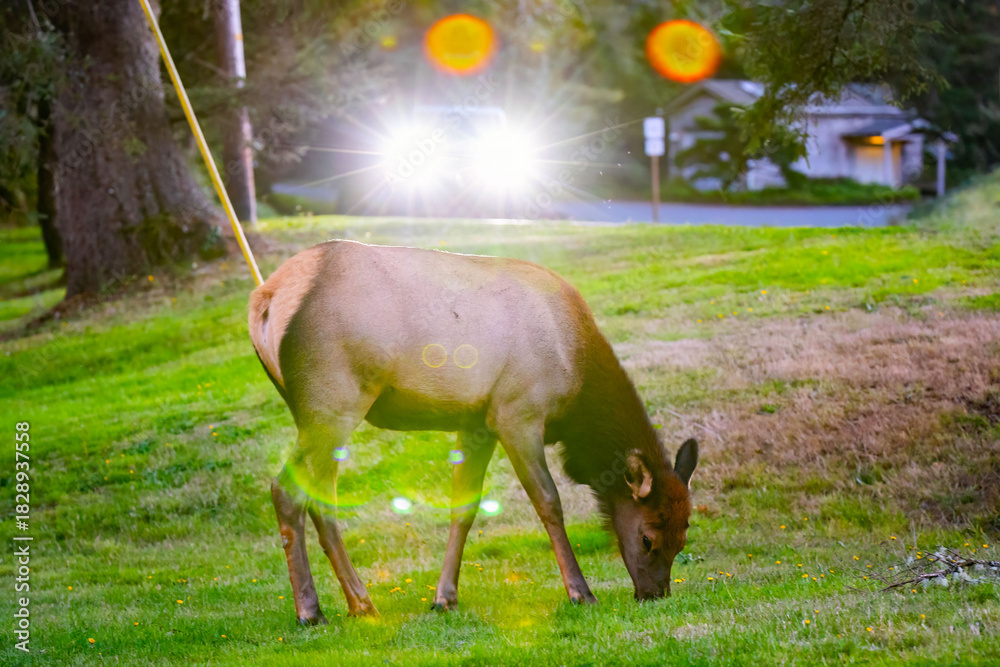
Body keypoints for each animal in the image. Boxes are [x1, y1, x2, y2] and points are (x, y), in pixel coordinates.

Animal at [248, 239, 698, 624]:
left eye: (683, 537)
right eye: (648, 537)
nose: (655, 594)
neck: (578, 382)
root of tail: (265, 301)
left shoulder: (476, 423)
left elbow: (464, 506)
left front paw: (444, 597)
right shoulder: (517, 412)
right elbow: (549, 501)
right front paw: (580, 591)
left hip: (316, 410)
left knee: (321, 498)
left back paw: (361, 603)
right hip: (332, 401)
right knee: (286, 489)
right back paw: (310, 610)